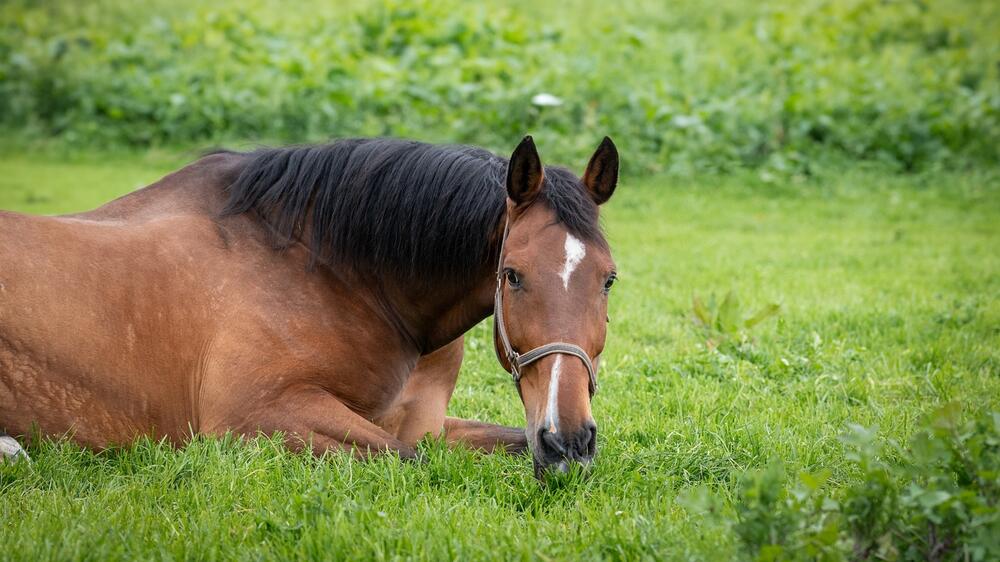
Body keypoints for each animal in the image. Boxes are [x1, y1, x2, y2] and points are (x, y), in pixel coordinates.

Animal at [0, 135, 620, 472]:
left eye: (609, 279)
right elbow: (410, 459)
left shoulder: (425, 423)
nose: (568, 440)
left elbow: (495, 440)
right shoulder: (257, 416)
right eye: (512, 276)